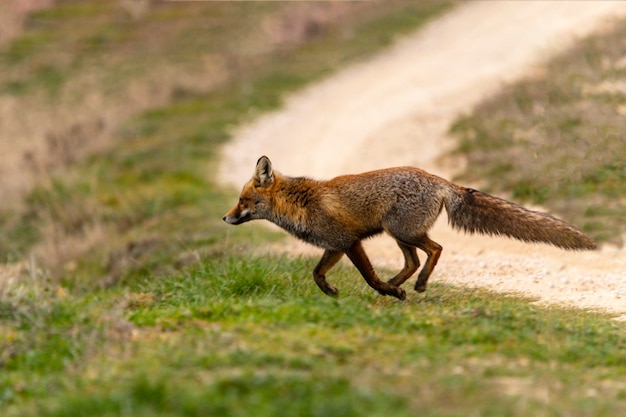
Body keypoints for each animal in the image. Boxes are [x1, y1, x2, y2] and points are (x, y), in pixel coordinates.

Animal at [222, 156, 592, 300]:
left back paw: (413, 286)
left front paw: (383, 290)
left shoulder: (349, 242)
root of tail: (439, 179)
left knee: (435, 250)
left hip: (400, 231)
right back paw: (399, 285)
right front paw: (331, 292)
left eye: (242, 200)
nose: (225, 218)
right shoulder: (335, 245)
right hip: (399, 235)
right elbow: (316, 274)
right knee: (413, 261)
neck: (301, 203)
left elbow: (368, 277)